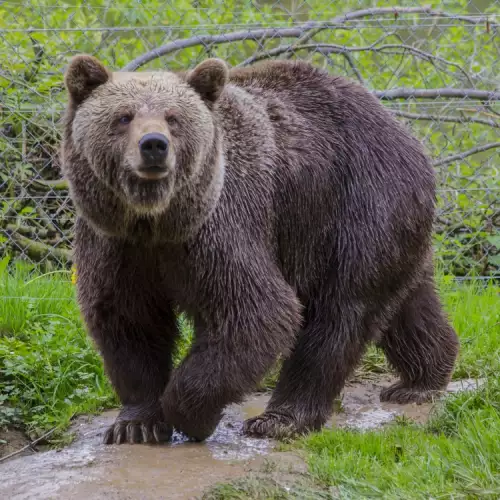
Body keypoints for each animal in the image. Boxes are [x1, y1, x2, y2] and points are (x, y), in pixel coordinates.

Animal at [60, 55, 458, 446]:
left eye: (174, 118)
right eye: (123, 116)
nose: (154, 145)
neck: (157, 221)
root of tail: (405, 132)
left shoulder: (221, 227)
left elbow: (255, 313)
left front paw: (191, 415)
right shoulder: (116, 243)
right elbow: (129, 321)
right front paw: (135, 425)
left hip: (355, 205)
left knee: (340, 310)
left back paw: (282, 417)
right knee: (408, 302)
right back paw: (422, 379)